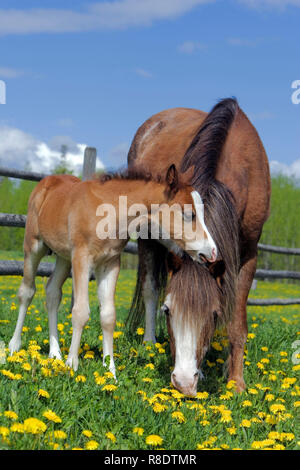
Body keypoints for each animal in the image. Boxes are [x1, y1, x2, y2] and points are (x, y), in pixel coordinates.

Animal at [8, 167, 216, 376]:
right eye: (189, 214)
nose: (212, 252)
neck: (109, 213)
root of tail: (47, 181)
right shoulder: (82, 258)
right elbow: (80, 312)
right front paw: (72, 365)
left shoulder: (110, 263)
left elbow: (108, 316)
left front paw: (110, 370)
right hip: (34, 246)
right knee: (27, 291)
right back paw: (14, 346)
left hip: (63, 257)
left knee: (52, 292)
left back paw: (55, 353)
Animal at [126, 99, 272, 396]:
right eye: (167, 311)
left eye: (214, 315)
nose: (183, 382)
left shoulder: (249, 252)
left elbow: (237, 322)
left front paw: (236, 382)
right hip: (147, 238)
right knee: (150, 289)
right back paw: (149, 343)